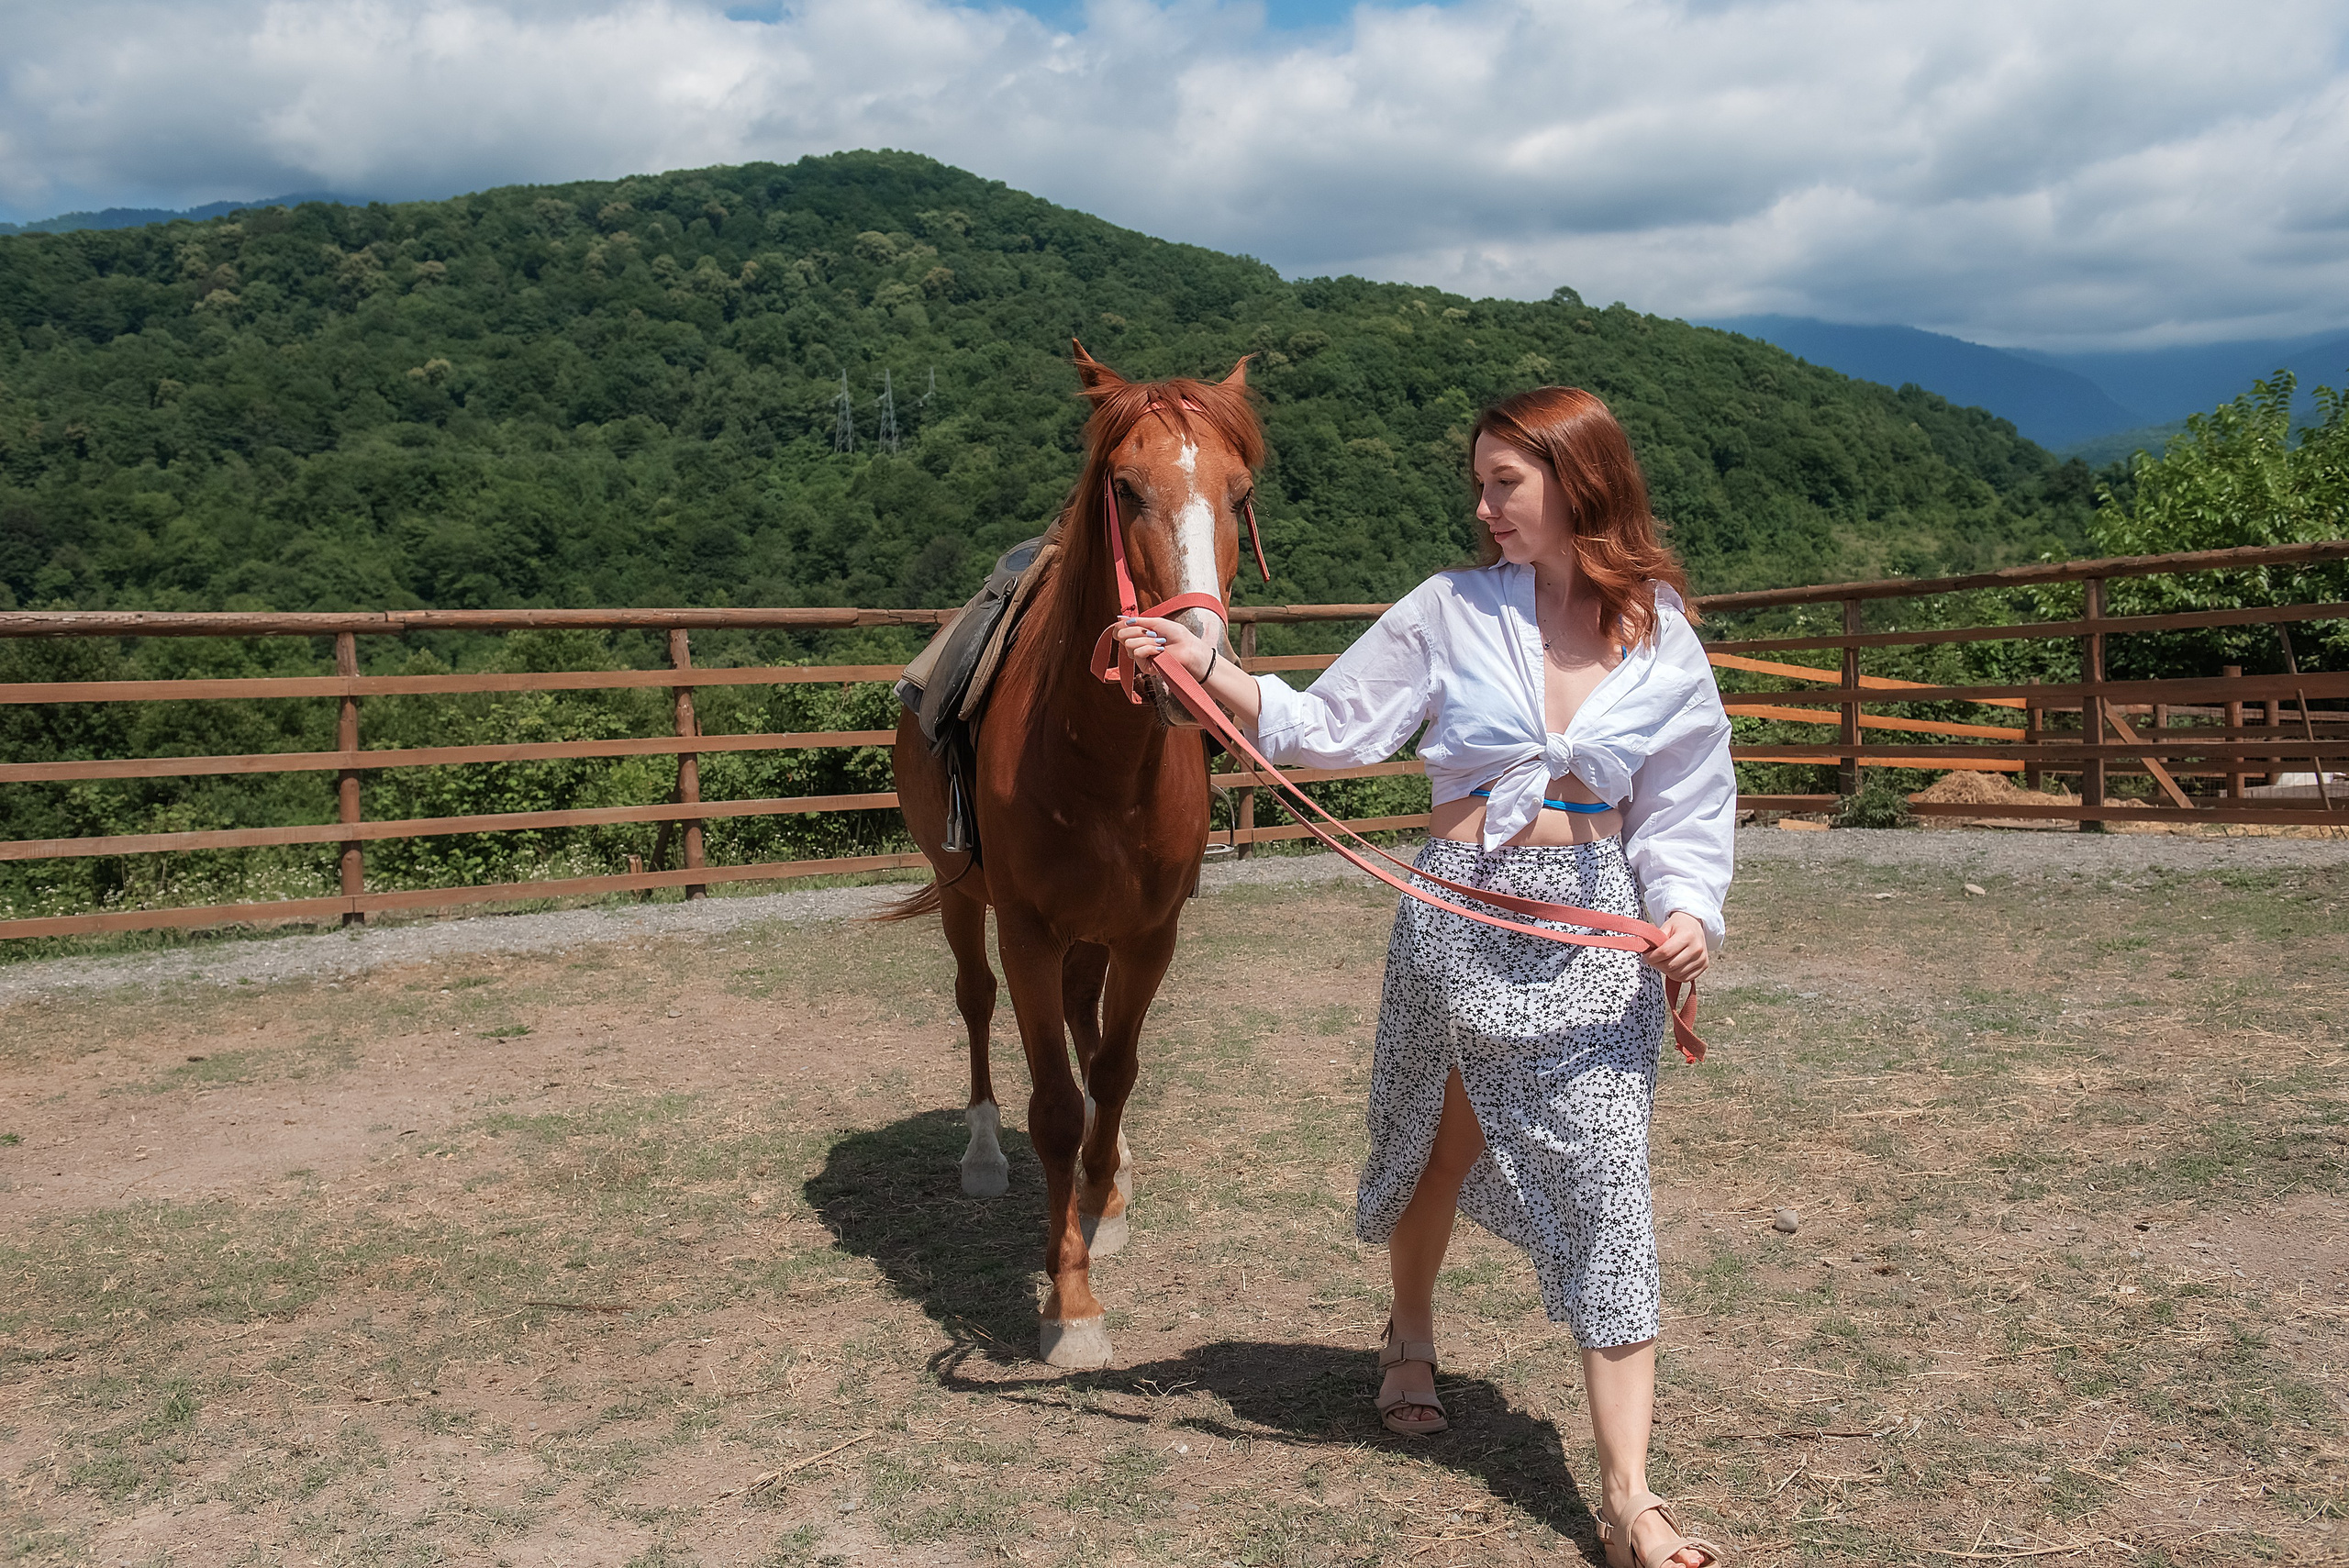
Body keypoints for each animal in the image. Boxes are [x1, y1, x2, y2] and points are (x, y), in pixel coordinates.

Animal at [883, 343, 1264, 1369]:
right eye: (1124, 488)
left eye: (1240, 492)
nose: (1189, 661)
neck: (1097, 754)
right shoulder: (1028, 931)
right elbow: (1054, 1106)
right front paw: (1072, 1305)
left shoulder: (1148, 934)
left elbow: (1116, 1070)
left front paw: (1104, 1198)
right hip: (960, 895)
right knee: (977, 1003)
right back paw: (982, 1153)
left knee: (1088, 1027)